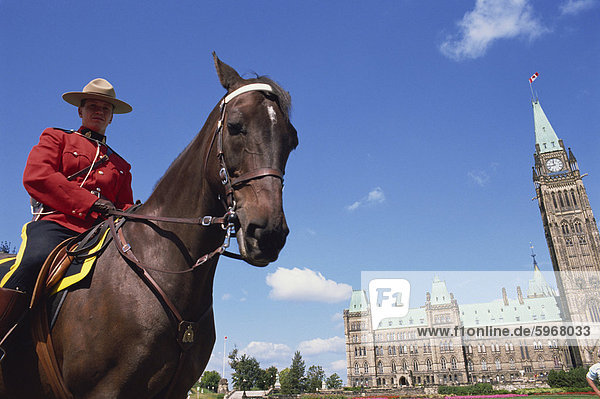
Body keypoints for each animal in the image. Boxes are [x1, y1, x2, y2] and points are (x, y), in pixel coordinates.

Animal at [0, 55, 298, 399]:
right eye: (236, 127)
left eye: (292, 140)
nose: (269, 232)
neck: (161, 265)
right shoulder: (104, 390)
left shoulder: (177, 390)